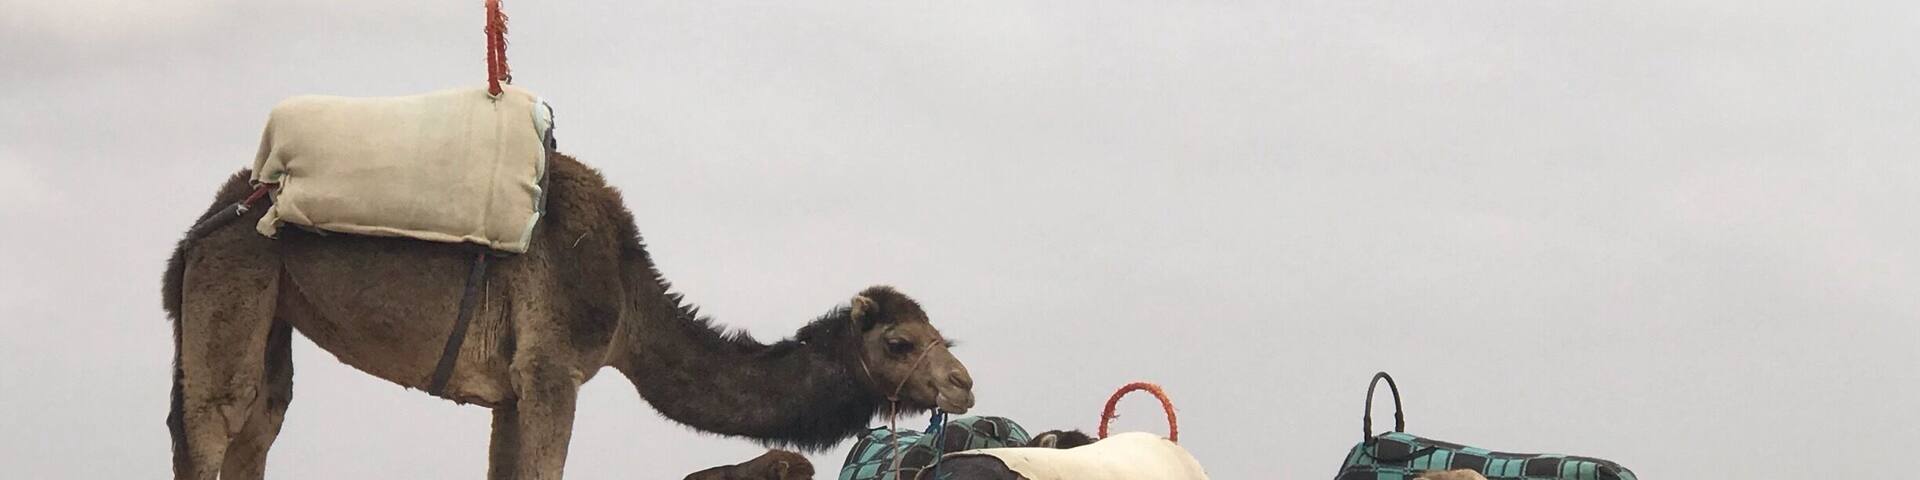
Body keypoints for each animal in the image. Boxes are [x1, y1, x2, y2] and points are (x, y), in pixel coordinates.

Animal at [161, 153, 976, 479]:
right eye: (900, 341)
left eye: (942, 335)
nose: (963, 382)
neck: (629, 303)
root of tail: (207, 219)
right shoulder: (554, 368)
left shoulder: (512, 388)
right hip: (238, 271)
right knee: (214, 415)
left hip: (271, 304)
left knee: (260, 420)